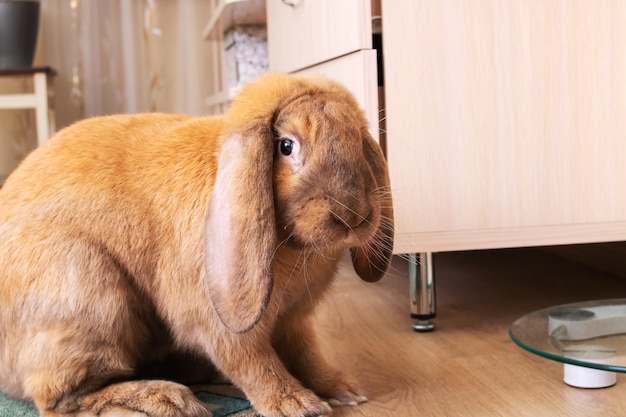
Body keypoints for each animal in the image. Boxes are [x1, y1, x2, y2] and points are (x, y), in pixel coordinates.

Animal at [0, 72, 392, 416]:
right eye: (286, 146)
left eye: (357, 139)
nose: (353, 215)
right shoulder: (221, 325)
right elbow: (255, 363)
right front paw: (296, 404)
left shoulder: (294, 321)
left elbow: (307, 354)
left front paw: (343, 389)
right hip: (87, 294)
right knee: (61, 399)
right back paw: (167, 400)